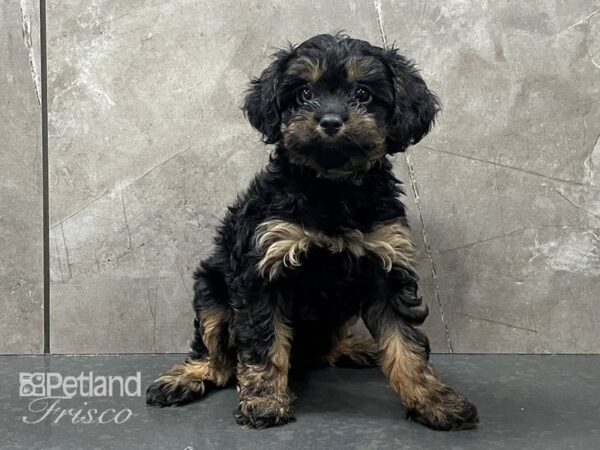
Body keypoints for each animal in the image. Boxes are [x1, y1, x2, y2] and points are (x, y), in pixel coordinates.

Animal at [146, 33, 478, 430]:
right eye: (303, 93)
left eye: (363, 93)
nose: (331, 120)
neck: (332, 188)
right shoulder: (263, 270)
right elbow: (264, 343)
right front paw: (265, 401)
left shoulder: (386, 264)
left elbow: (406, 343)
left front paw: (435, 401)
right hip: (210, 290)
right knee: (214, 353)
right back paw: (187, 377)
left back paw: (351, 348)